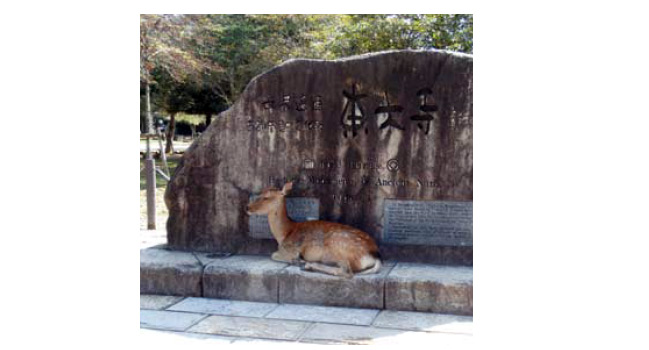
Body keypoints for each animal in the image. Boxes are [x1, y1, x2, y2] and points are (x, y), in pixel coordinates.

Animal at [246, 182, 382, 278]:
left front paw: (297, 260)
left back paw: (308, 265)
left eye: (266, 197)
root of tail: (375, 255)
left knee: (347, 272)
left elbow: (273, 255)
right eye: (259, 193)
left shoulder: (291, 249)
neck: (284, 233)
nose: (248, 207)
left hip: (339, 246)